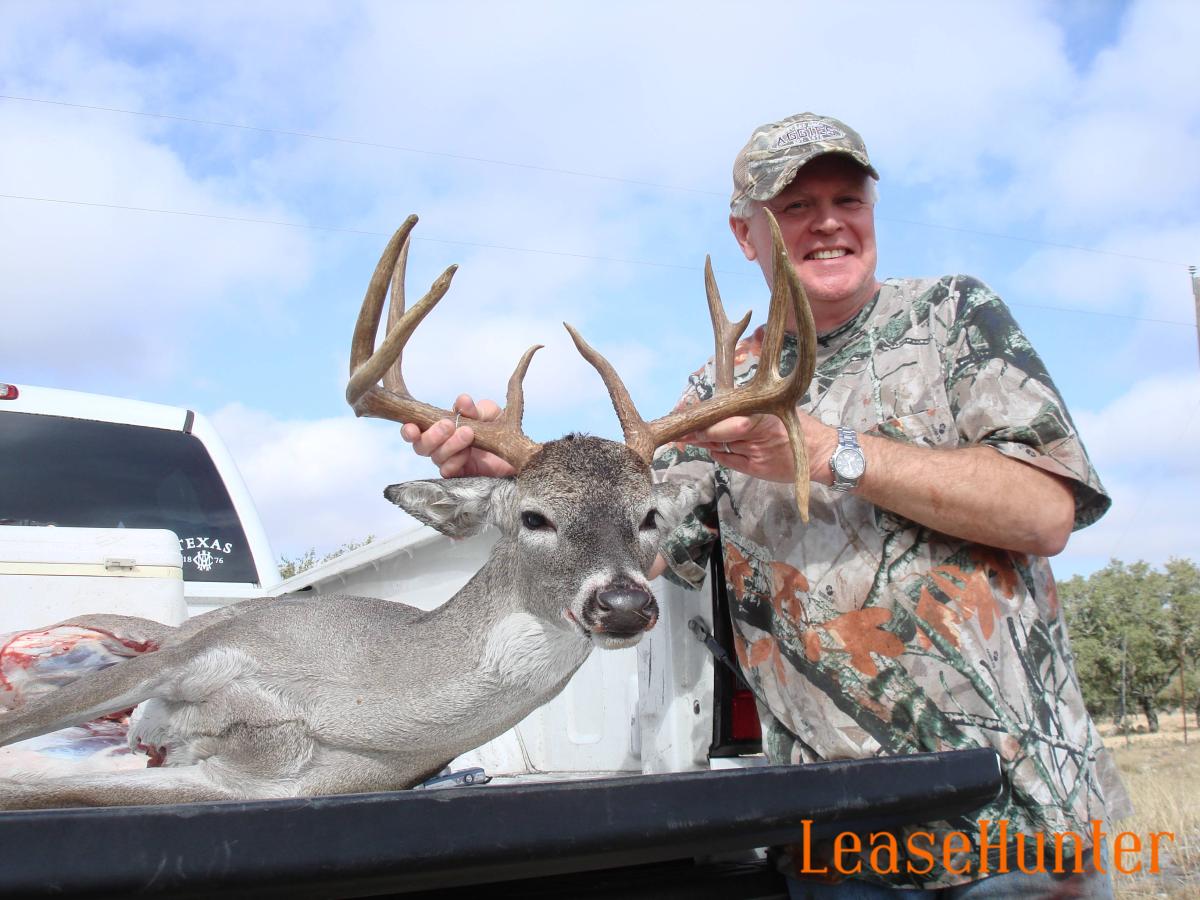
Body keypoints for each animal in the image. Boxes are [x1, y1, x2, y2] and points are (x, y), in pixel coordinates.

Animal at [0, 211, 816, 810]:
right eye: (534, 517)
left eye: (647, 516)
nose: (622, 604)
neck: (352, 698)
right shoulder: (191, 653)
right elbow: (24, 738)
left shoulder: (251, 788)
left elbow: (37, 786)